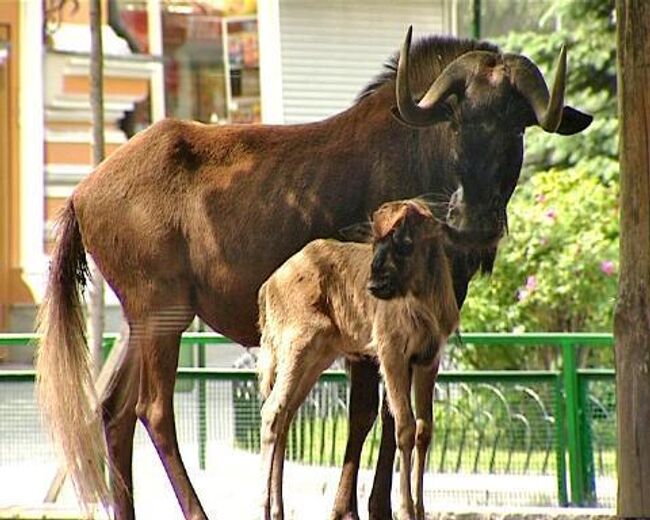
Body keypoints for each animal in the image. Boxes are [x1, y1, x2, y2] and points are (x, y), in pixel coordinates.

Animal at [256, 197, 458, 516]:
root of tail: (269, 287)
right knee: (273, 411)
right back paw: (265, 508)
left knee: (286, 415)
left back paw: (278, 509)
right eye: (375, 240)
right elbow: (404, 426)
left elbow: (424, 429)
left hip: (316, 358)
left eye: (405, 241)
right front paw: (405, 510)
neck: (423, 302)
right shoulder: (390, 354)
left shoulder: (428, 360)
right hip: (297, 347)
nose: (375, 285)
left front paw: (420, 510)